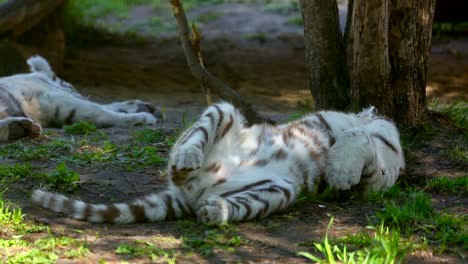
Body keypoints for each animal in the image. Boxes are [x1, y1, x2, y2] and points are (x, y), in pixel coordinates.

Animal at [0, 55, 161, 141]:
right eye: (70, 85)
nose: (78, 93)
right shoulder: (49, 98)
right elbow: (99, 110)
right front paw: (143, 117)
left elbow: (102, 105)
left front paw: (143, 106)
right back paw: (17, 128)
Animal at [32, 102, 406, 224]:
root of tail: (192, 193)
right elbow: (359, 137)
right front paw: (342, 166)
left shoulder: (381, 167)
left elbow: (363, 144)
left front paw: (341, 170)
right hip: (224, 111)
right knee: (195, 139)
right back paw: (187, 159)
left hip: (280, 188)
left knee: (232, 204)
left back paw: (214, 211)